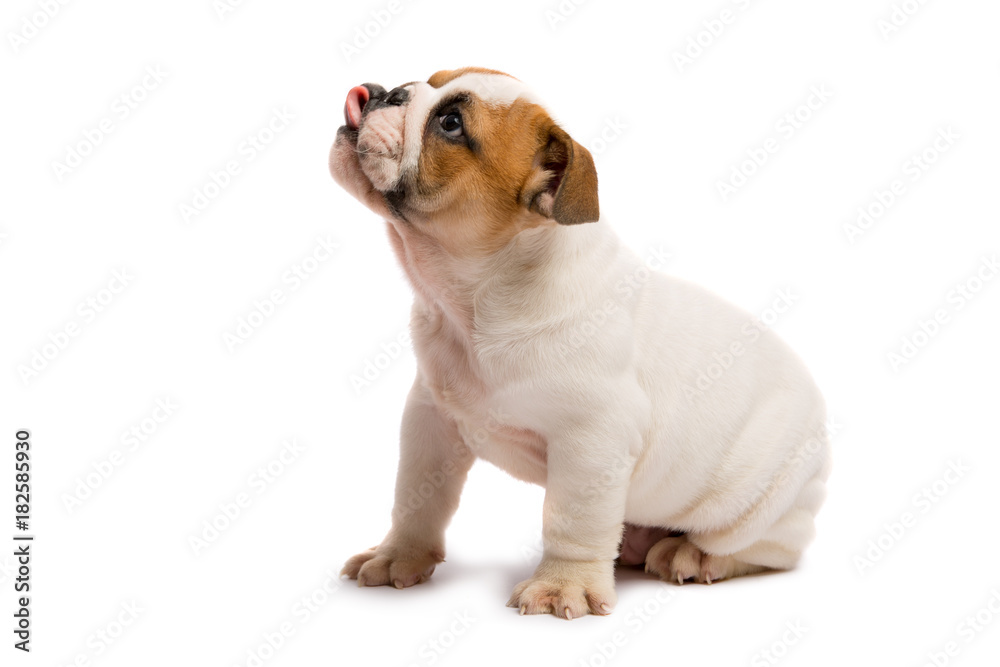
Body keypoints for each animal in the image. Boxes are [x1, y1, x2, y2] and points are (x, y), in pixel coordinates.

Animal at [328, 68, 828, 620]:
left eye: (451, 123)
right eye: (427, 81)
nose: (382, 91)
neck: (477, 299)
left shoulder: (592, 439)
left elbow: (571, 519)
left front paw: (561, 585)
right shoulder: (430, 419)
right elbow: (416, 496)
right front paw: (399, 555)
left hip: (758, 505)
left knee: (763, 548)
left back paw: (693, 554)